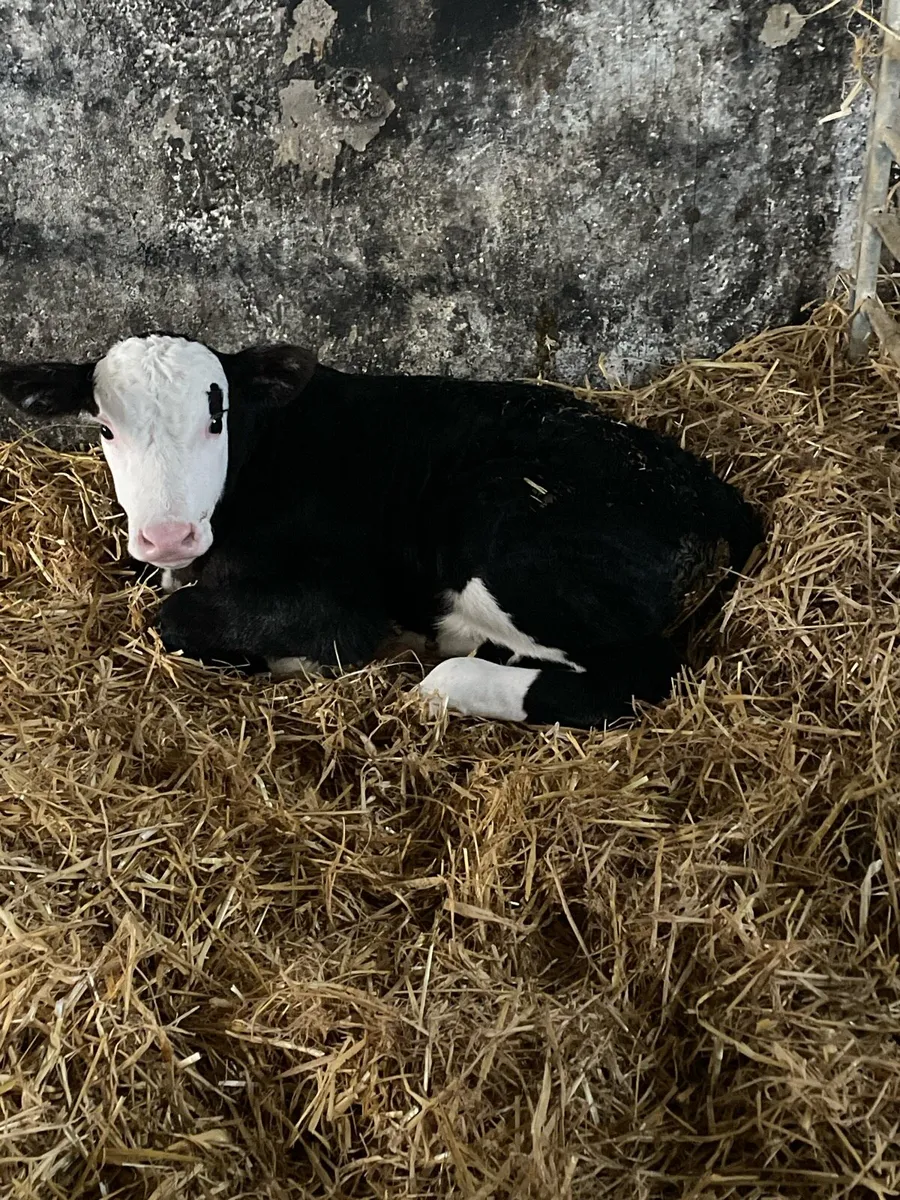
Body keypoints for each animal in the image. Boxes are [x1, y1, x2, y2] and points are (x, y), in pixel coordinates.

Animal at [0, 336, 763, 729]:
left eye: (216, 419)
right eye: (105, 427)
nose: (168, 536)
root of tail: (698, 481)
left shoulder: (336, 604)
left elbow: (178, 620)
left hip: (511, 541)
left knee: (638, 675)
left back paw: (448, 678)